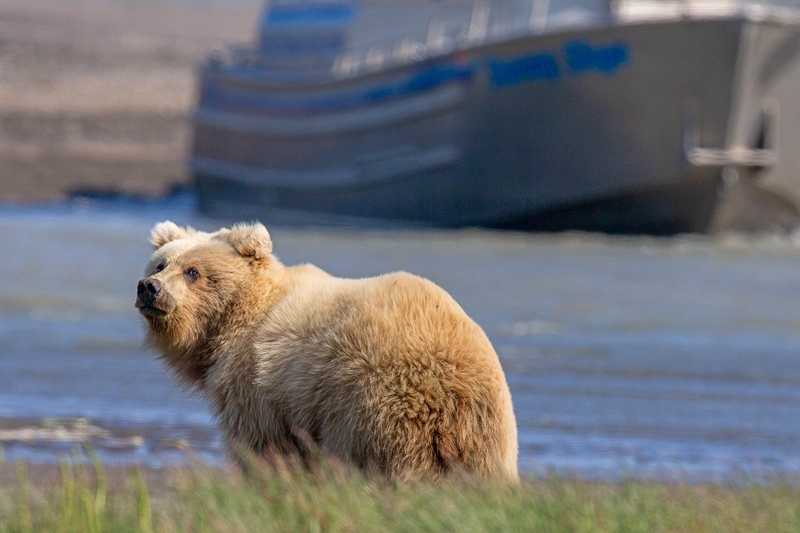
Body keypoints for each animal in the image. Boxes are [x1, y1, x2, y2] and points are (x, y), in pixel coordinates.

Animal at [138, 218, 520, 480]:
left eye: (193, 271)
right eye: (161, 263)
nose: (149, 287)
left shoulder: (255, 386)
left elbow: (259, 445)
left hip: (377, 404)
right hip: (485, 431)